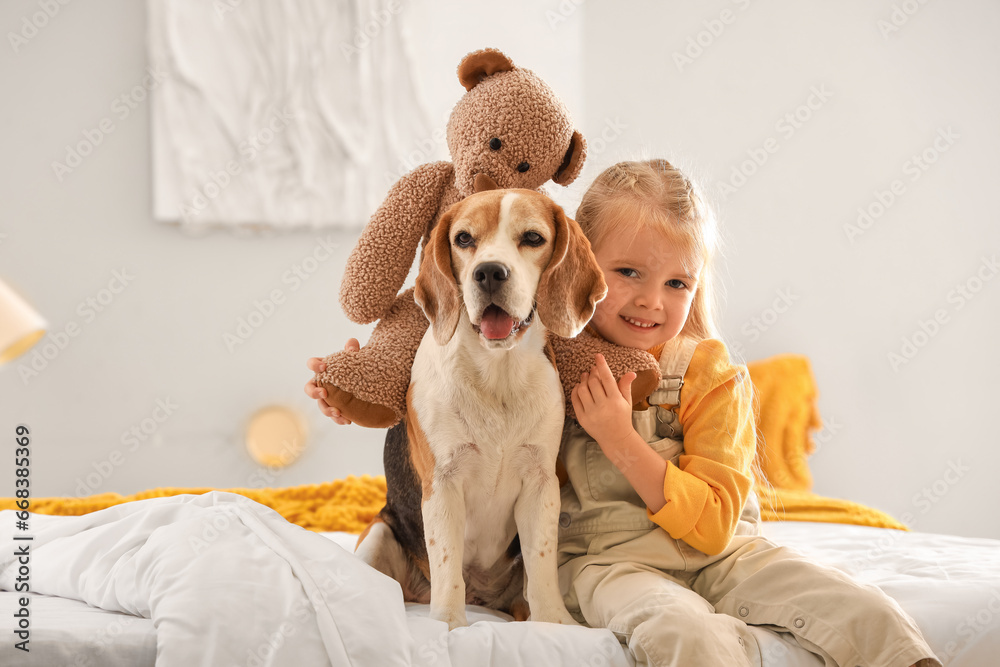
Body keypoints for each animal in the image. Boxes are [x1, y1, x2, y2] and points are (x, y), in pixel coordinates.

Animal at [360, 188, 608, 632]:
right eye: (463, 239)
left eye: (532, 238)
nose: (489, 273)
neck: (498, 376)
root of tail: (485, 599)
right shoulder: (442, 484)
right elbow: (447, 566)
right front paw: (448, 625)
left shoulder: (540, 484)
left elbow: (541, 565)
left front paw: (554, 623)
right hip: (377, 534)